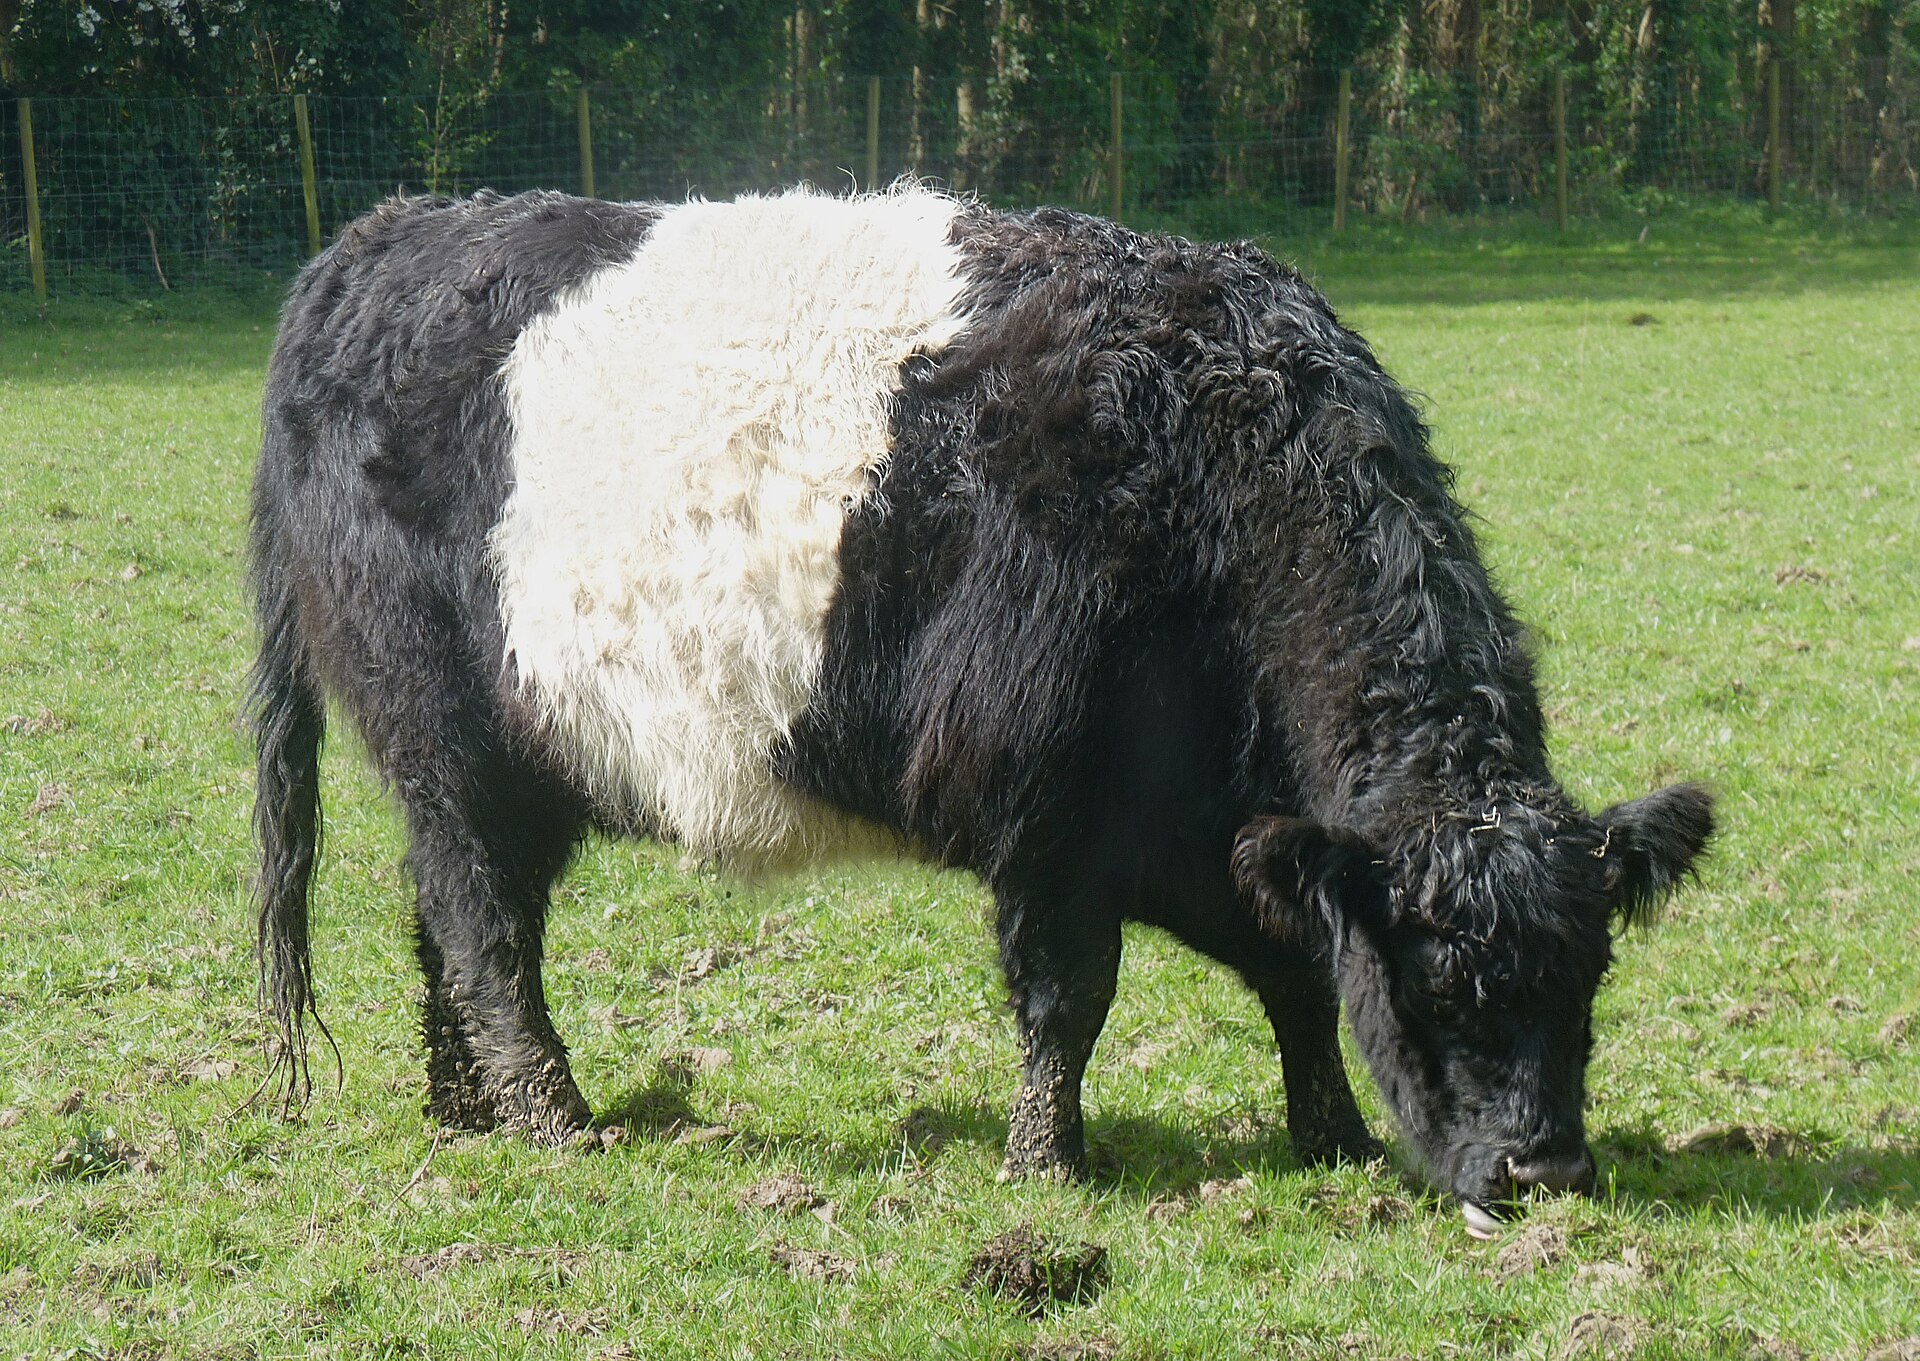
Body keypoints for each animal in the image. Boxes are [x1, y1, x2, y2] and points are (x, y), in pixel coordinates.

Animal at [248, 185, 1712, 1234]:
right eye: (1445, 984)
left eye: (1590, 978)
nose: (1544, 1172)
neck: (1214, 467)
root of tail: (382, 239)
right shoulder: (1055, 818)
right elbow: (1071, 999)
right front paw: (1047, 1165)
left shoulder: (1219, 829)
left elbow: (1296, 965)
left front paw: (1334, 1139)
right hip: (454, 745)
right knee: (487, 930)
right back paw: (555, 1119)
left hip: (498, 767)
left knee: (441, 914)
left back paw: (465, 1109)